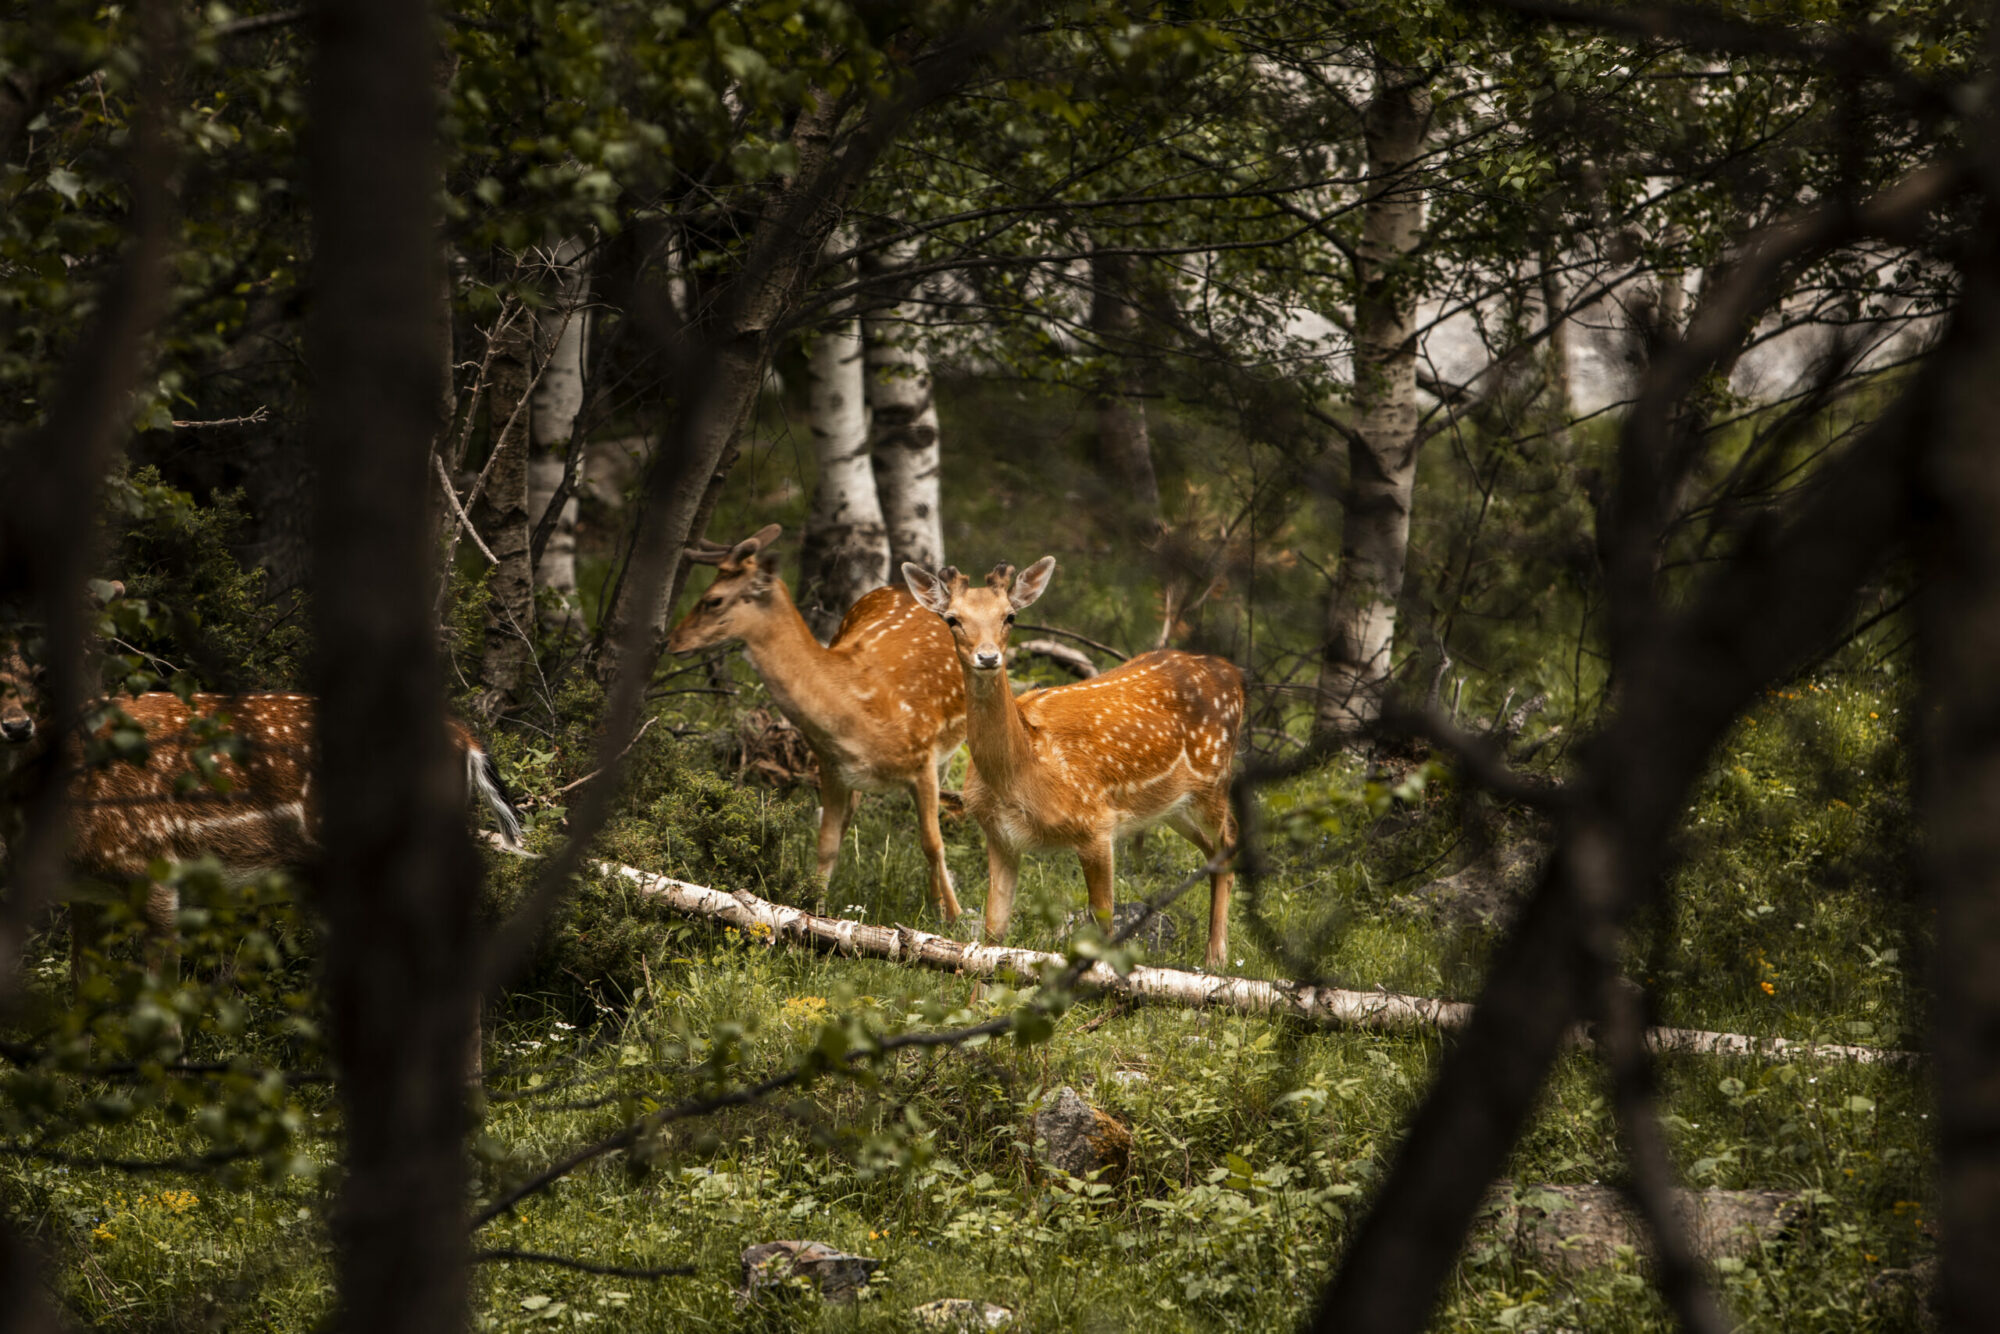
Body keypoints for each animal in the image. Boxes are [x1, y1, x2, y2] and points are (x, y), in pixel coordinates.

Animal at [664, 528, 968, 924]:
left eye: (713, 600)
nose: (671, 641)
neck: (856, 711)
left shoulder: (924, 758)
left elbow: (933, 843)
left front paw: (955, 917)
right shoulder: (831, 765)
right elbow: (826, 844)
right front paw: (813, 914)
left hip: (952, 743)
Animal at [904, 560, 1240, 964]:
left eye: (1010, 616)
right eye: (952, 619)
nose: (988, 657)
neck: (1021, 773)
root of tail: (1234, 674)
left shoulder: (1096, 823)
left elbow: (1104, 926)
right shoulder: (1000, 836)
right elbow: (993, 933)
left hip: (1214, 779)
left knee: (1228, 842)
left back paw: (1216, 958)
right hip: (1172, 805)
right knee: (1214, 850)